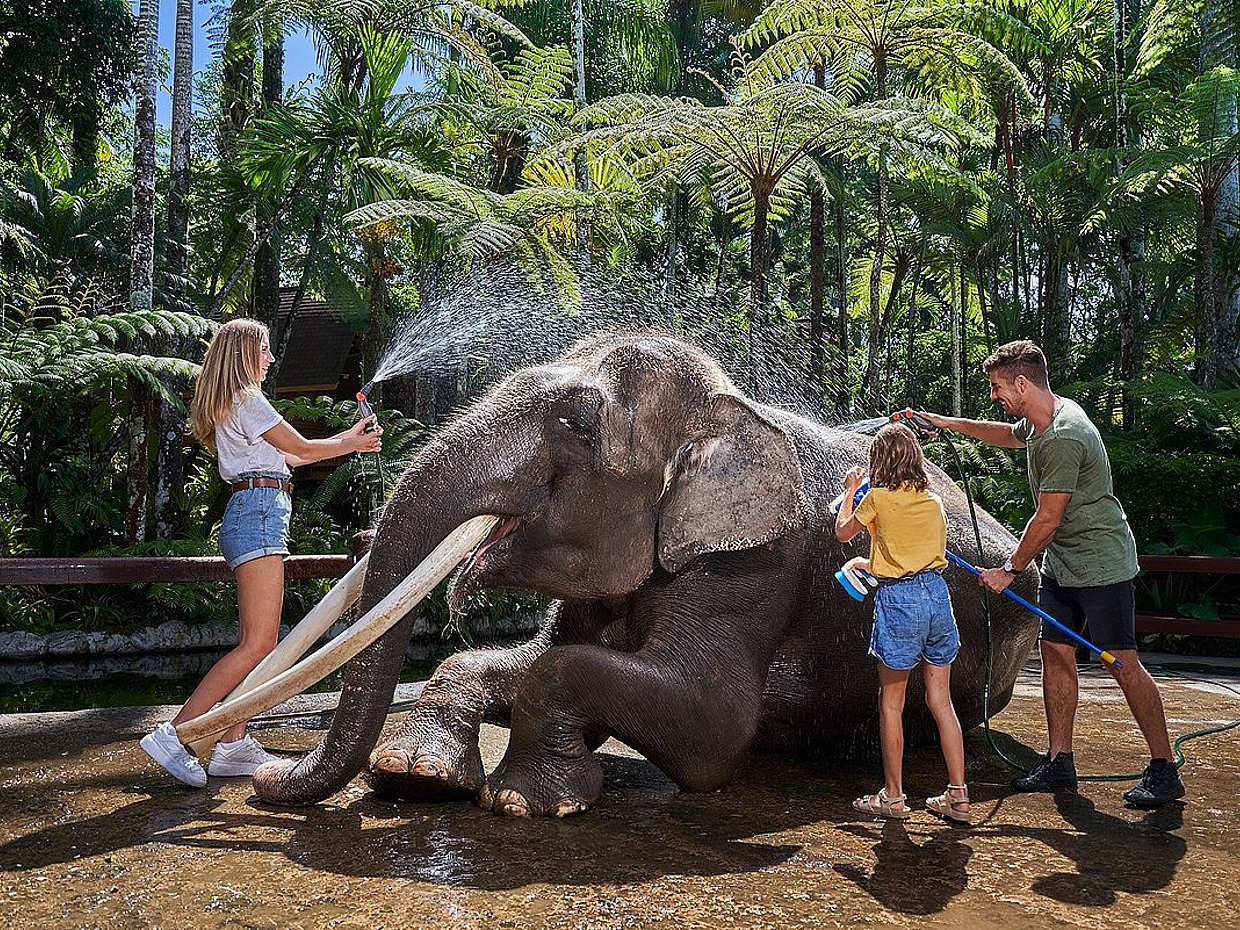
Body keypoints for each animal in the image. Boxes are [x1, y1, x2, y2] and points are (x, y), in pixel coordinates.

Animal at [252, 332, 1038, 816]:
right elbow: (527, 656)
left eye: (574, 424)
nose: (264, 773)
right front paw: (412, 774)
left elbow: (710, 723)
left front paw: (520, 801)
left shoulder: (754, 563)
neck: (727, 405)